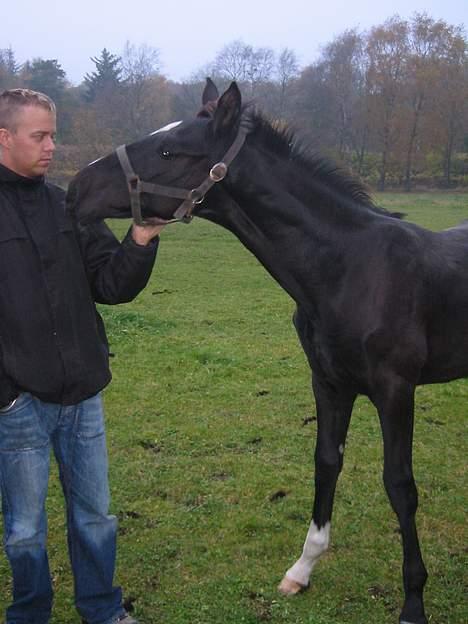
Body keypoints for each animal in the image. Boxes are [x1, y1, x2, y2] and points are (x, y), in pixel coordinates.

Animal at [66, 83, 468, 624]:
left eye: (169, 151)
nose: (74, 190)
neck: (350, 267)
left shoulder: (395, 390)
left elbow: (400, 486)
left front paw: (413, 604)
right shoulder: (329, 383)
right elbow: (326, 461)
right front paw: (302, 569)